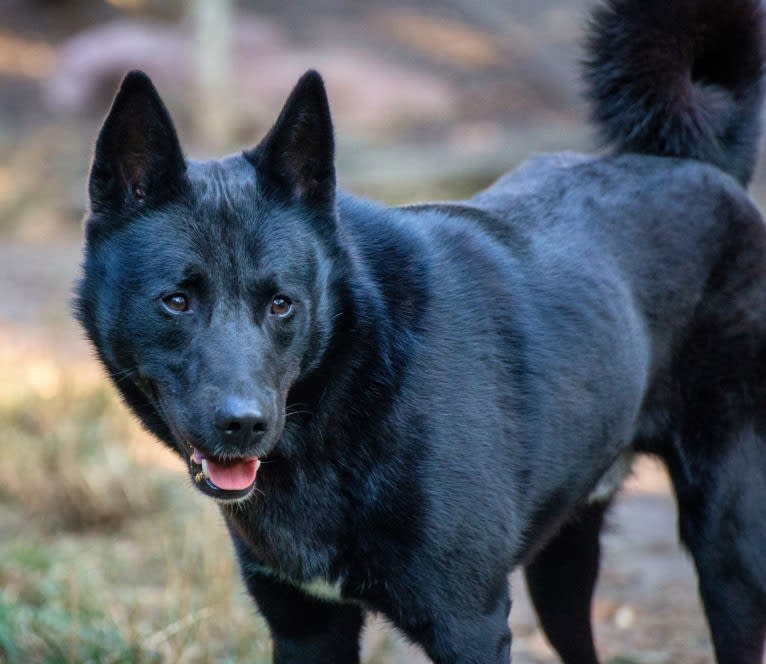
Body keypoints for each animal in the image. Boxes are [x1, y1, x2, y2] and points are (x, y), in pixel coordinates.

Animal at [75, 1, 766, 664]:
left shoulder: (471, 626)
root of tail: (692, 163)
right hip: (563, 563)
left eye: (281, 304)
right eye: (176, 302)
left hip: (727, 550)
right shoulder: (305, 628)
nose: (244, 425)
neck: (351, 383)